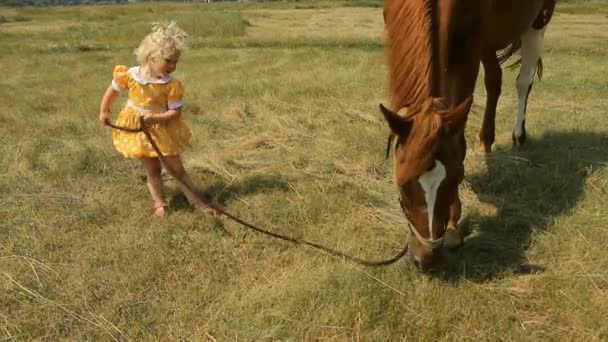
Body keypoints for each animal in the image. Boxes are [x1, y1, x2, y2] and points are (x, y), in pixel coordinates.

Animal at [380, 0, 556, 272]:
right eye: (402, 184)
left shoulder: (467, 51)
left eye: (455, 179)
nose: (427, 259)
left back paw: (518, 138)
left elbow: (458, 138)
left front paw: (453, 227)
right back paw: (485, 144)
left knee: (523, 81)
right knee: (494, 79)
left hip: (538, 22)